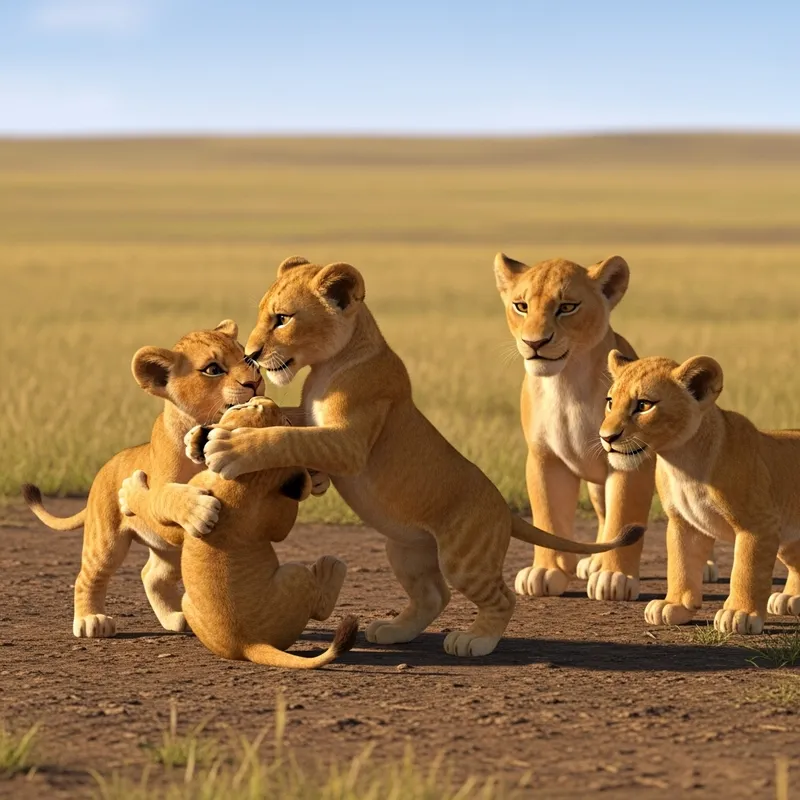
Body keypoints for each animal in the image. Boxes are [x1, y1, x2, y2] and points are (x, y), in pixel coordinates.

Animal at [22, 320, 261, 638]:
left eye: (246, 358)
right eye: (213, 369)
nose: (255, 381)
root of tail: (105, 467)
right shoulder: (160, 503)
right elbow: (164, 497)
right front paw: (197, 510)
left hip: (168, 553)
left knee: (151, 575)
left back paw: (176, 618)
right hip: (106, 541)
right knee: (88, 576)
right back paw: (91, 620)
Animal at [118, 396, 357, 669]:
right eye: (286, 421)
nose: (263, 398)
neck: (249, 476)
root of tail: (250, 644)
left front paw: (131, 489)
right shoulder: (275, 516)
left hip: (291, 574)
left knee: (319, 605)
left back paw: (331, 568)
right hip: (199, 599)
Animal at [180, 256, 645, 658]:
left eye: (283, 318)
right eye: (264, 315)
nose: (252, 354)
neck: (330, 364)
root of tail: (502, 508)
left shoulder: (348, 442)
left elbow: (285, 437)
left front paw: (228, 447)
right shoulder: (312, 416)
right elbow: (286, 420)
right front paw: (202, 434)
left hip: (464, 555)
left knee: (500, 596)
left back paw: (475, 640)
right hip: (406, 550)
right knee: (433, 595)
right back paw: (393, 630)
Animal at [601, 349, 799, 634]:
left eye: (644, 405)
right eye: (610, 402)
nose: (606, 437)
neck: (682, 462)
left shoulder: (759, 524)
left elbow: (746, 570)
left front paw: (739, 614)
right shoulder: (685, 523)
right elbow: (681, 564)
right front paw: (674, 606)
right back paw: (790, 598)